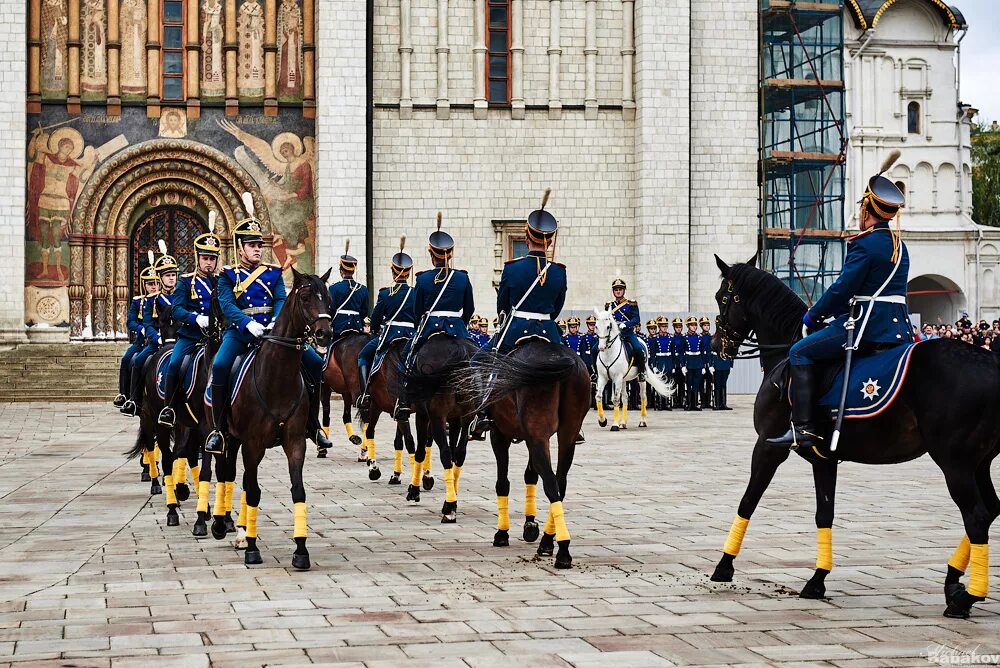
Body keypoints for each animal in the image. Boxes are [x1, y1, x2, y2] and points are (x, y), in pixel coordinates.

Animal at [224, 268, 330, 568]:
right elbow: (253, 491)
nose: (325, 333)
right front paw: (252, 548)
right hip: (228, 439)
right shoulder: (252, 443)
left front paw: (301, 550)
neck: (277, 377)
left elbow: (298, 490)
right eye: (305, 297)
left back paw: (241, 531)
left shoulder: (295, 441)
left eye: (327, 297)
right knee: (229, 474)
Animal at [458, 344, 588, 568]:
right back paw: (547, 541)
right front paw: (530, 524)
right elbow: (530, 475)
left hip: (538, 436)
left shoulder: (499, 435)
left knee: (551, 484)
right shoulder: (529, 438)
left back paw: (563, 549)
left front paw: (502, 533)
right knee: (560, 483)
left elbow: (503, 483)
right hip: (567, 436)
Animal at [708, 253, 996, 620]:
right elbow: (824, 512)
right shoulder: (823, 458)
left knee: (977, 517)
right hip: (979, 463)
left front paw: (724, 565)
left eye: (722, 297)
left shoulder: (768, 447)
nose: (716, 344)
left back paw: (965, 597)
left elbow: (748, 501)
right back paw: (953, 583)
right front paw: (817, 580)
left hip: (955, 464)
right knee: (991, 510)